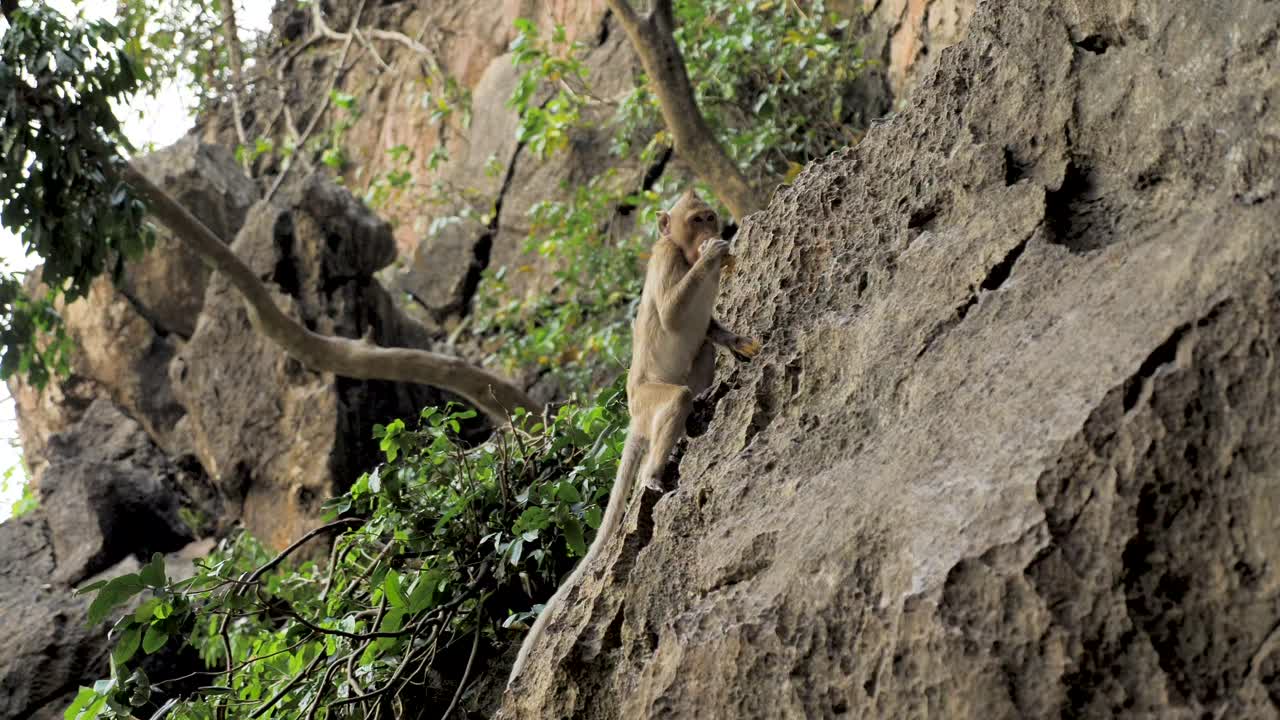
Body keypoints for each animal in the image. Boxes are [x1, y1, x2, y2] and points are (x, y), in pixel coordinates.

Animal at [507, 189, 759, 687]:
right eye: (696, 221)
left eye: (708, 216)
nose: (712, 229)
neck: (681, 251)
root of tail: (634, 416)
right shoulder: (665, 260)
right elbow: (674, 313)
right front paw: (713, 254)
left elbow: (707, 329)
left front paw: (737, 339)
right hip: (648, 400)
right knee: (675, 399)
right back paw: (652, 473)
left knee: (700, 353)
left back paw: (704, 399)